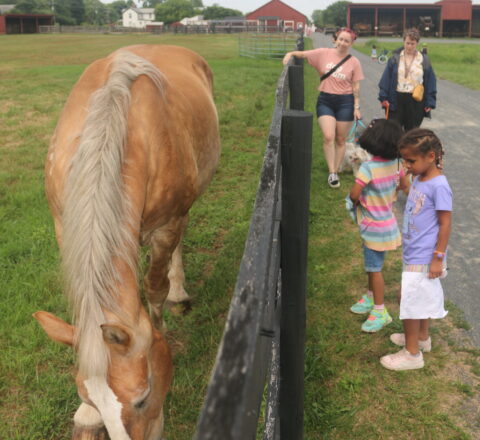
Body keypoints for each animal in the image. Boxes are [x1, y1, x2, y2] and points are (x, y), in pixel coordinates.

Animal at [32, 45, 220, 440]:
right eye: (85, 396)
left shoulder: (165, 227)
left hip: (181, 212)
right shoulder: (65, 228)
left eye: (144, 397)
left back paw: (180, 291)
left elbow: (154, 288)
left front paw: (162, 332)